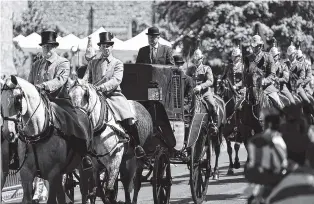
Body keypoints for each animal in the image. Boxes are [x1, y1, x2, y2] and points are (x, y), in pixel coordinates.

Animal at [0, 75, 92, 204]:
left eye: (17, 99)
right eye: (1, 102)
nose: (8, 133)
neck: (36, 136)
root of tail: (81, 110)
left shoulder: (53, 174)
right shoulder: (26, 174)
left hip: (81, 167)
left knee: (84, 190)